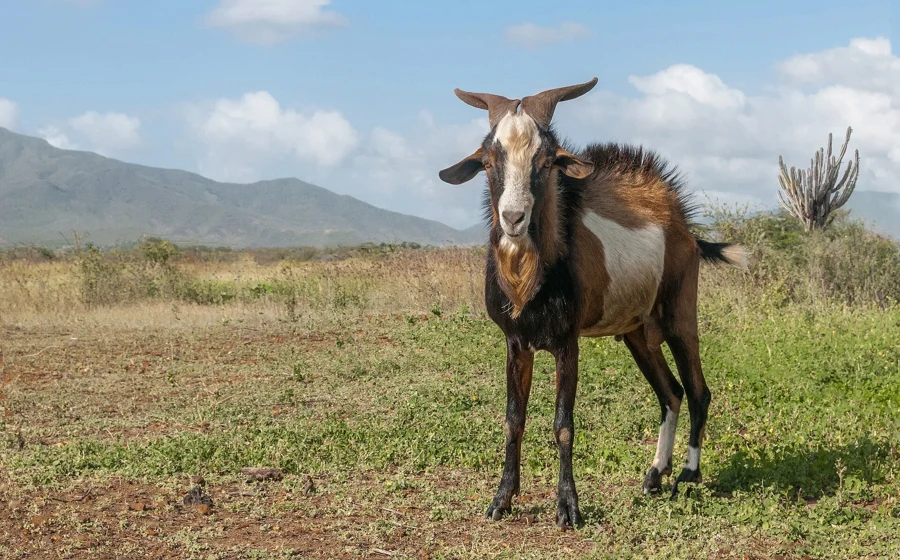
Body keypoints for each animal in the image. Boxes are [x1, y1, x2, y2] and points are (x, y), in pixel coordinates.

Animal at [437, 77, 748, 528]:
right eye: (489, 161)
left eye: (547, 161)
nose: (514, 219)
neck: (531, 280)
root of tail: (685, 228)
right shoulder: (516, 343)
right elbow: (514, 421)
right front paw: (501, 500)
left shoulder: (567, 342)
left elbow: (563, 423)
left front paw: (568, 508)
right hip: (638, 332)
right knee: (670, 392)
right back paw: (655, 475)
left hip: (679, 315)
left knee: (697, 390)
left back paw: (688, 475)